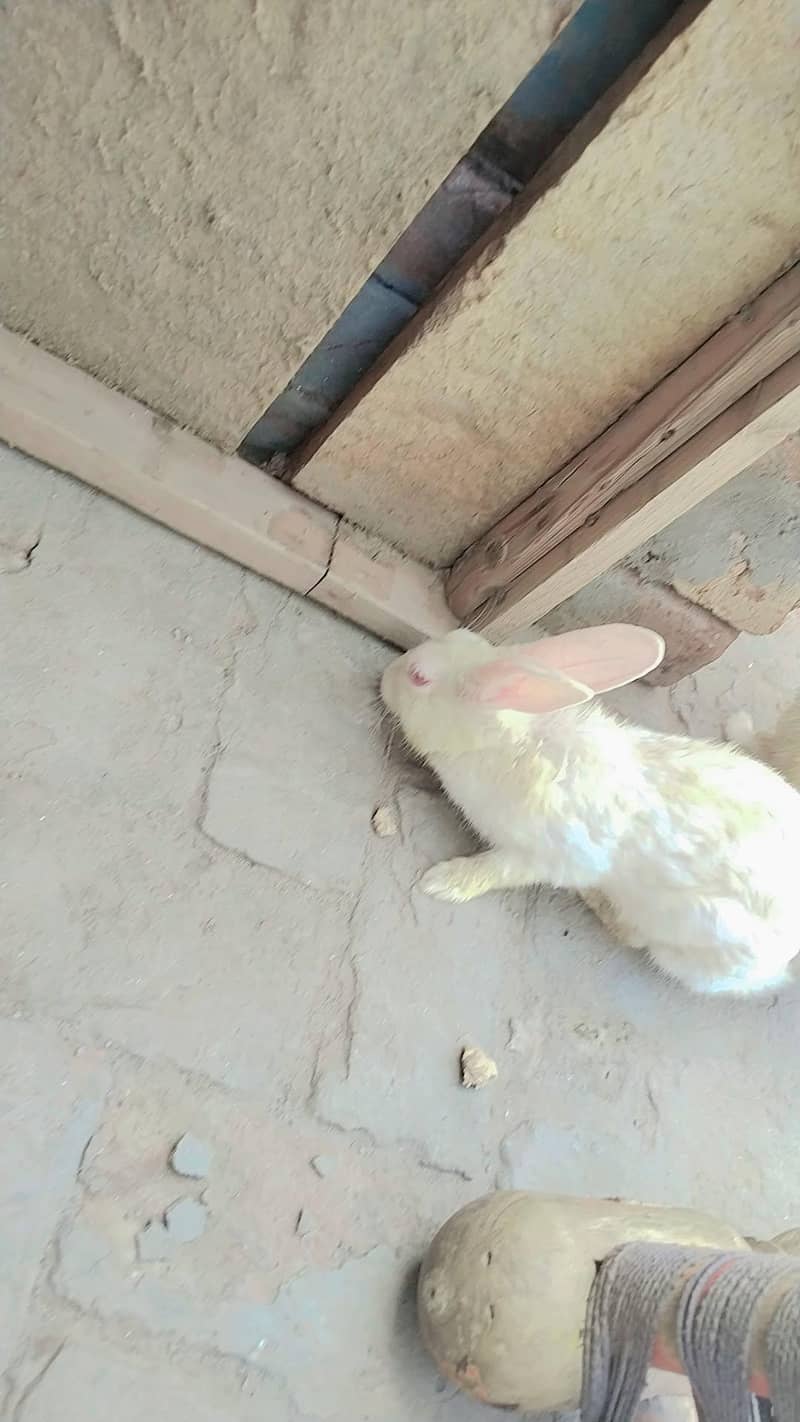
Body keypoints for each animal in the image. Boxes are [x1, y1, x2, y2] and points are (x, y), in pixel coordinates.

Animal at [380, 623, 800, 996]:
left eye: (418, 678)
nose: (385, 677)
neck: (508, 743)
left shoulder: (544, 856)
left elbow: (494, 872)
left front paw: (442, 882)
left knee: (635, 939)